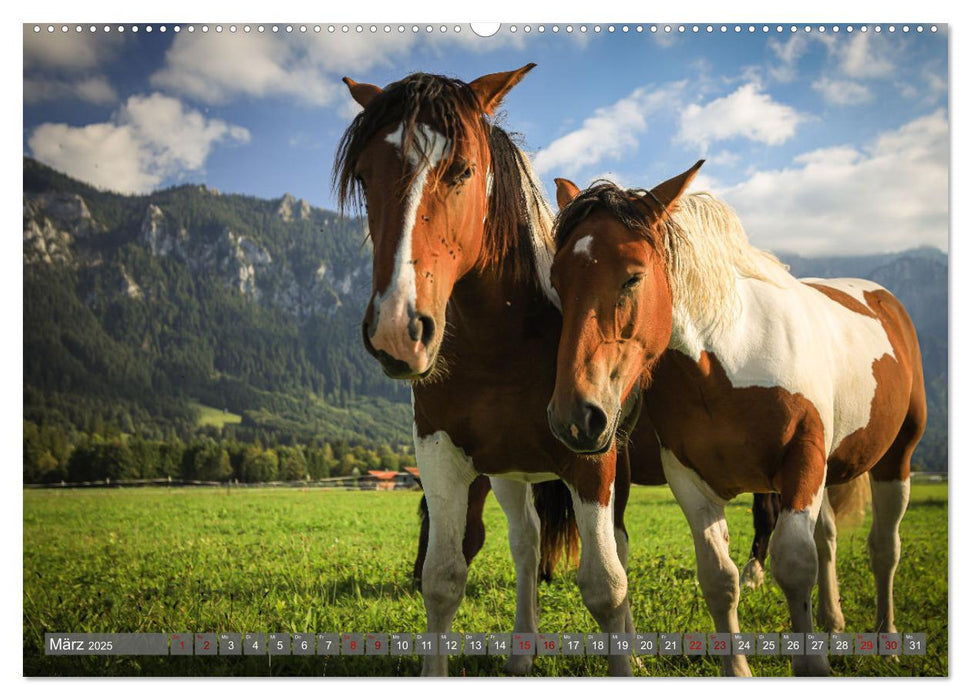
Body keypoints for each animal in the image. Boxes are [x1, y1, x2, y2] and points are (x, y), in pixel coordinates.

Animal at [334, 68, 644, 676]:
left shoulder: (590, 460)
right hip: (508, 473)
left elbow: (605, 585)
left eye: (462, 169)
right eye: (363, 174)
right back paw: (522, 651)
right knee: (526, 542)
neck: (503, 344)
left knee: (615, 550)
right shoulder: (442, 453)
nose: (397, 329)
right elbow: (443, 578)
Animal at [548, 167, 928, 676]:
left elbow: (795, 566)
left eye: (633, 277)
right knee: (828, 538)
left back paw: (886, 636)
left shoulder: (802, 460)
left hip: (894, 458)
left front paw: (812, 664)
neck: (731, 359)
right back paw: (833, 622)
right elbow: (718, 578)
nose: (575, 417)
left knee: (884, 547)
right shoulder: (688, 477)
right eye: (556, 280)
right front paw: (738, 667)